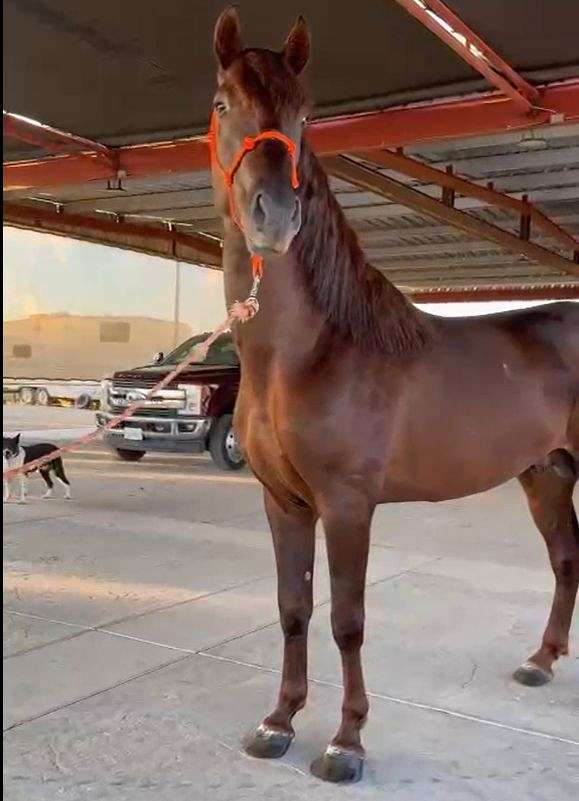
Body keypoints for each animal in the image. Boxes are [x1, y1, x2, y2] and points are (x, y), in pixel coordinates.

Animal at [211, 6, 576, 780]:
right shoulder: (283, 502)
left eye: (305, 114)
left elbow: (347, 620)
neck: (311, 352)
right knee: (566, 560)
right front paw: (277, 722)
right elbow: (293, 609)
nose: (273, 216)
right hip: (547, 474)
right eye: (223, 105)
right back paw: (540, 661)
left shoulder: (348, 505)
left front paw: (345, 744)